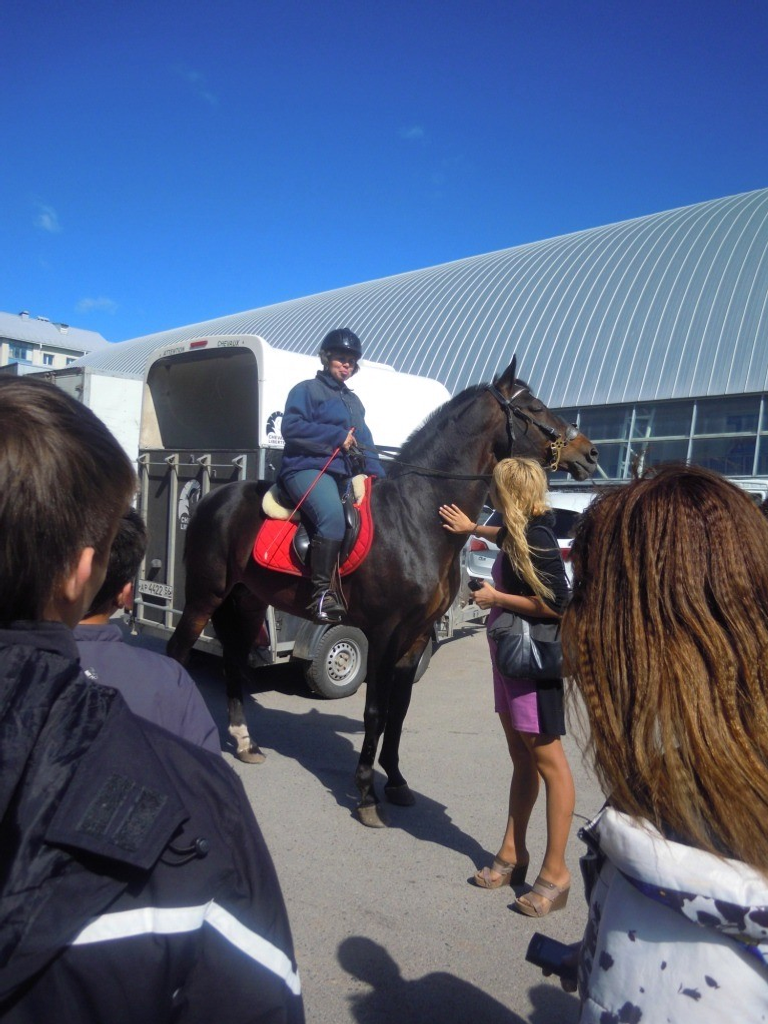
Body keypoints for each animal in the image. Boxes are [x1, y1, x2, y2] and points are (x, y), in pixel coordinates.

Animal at [167, 357, 598, 826]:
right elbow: (375, 710)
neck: (417, 515)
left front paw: (395, 781)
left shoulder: (415, 637)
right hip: (205, 596)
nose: (589, 453)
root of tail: (214, 498)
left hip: (246, 600)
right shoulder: (383, 632)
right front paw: (366, 796)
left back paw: (245, 743)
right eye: (534, 408)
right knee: (177, 652)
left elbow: (399, 710)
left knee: (230, 660)